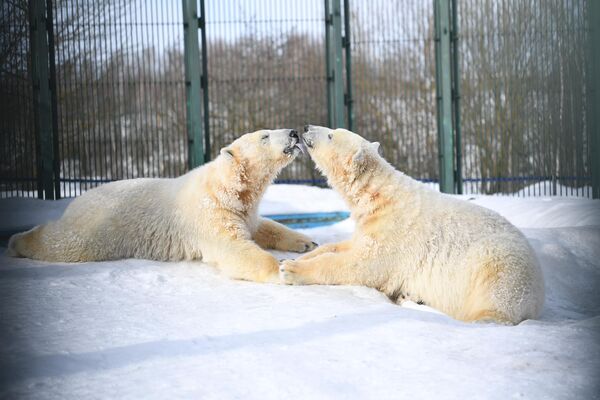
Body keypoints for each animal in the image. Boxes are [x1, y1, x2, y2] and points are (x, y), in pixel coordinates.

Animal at [9, 130, 316, 282]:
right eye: (265, 136)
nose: (292, 132)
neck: (226, 187)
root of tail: (77, 200)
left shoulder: (243, 209)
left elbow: (263, 226)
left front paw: (306, 242)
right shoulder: (209, 213)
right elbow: (233, 248)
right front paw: (280, 269)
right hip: (99, 227)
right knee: (66, 243)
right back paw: (17, 241)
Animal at [282, 126, 544, 324]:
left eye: (331, 135)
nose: (306, 127)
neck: (380, 197)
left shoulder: (395, 233)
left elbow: (361, 265)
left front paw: (291, 270)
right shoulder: (371, 225)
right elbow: (344, 246)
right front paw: (296, 257)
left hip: (500, 265)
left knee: (495, 299)